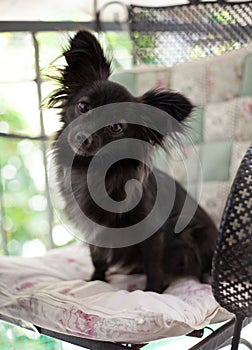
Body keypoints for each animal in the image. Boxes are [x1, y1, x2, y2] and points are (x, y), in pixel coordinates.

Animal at [50, 29, 218, 292]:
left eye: (116, 127)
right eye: (84, 107)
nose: (82, 137)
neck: (93, 170)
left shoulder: (150, 232)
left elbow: (154, 265)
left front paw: (153, 291)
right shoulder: (94, 232)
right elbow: (97, 258)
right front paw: (96, 280)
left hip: (197, 236)